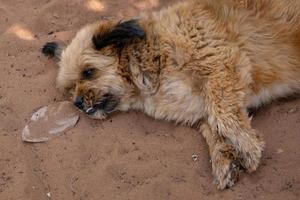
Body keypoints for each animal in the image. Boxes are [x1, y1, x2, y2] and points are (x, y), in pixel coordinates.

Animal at [41, 0, 300, 189]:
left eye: (88, 72)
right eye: (70, 88)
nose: (77, 103)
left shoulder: (223, 64)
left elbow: (223, 117)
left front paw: (248, 149)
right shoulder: (201, 106)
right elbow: (214, 127)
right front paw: (224, 160)